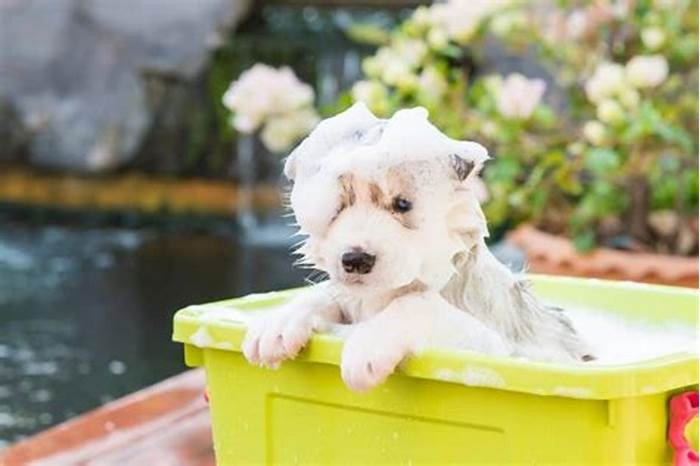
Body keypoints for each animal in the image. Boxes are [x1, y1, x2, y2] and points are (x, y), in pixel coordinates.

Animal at [241, 104, 592, 392]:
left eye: (403, 204)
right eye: (338, 205)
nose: (355, 259)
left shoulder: (490, 345)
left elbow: (415, 305)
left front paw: (367, 345)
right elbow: (325, 293)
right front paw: (277, 324)